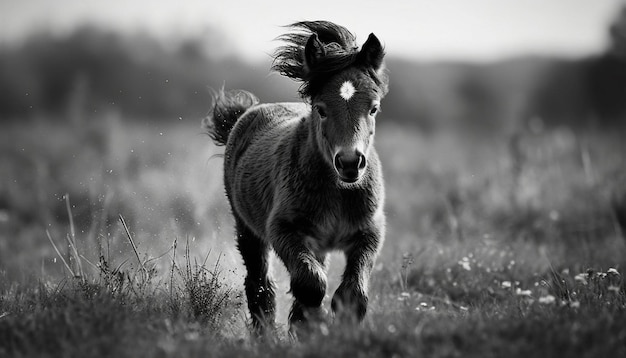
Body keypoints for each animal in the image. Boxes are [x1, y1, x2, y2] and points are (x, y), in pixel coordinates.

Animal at [202, 21, 388, 334]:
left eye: (373, 108)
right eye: (321, 109)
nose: (350, 163)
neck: (338, 191)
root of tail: (246, 113)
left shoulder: (369, 231)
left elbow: (351, 293)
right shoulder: (284, 230)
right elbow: (311, 285)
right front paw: (310, 327)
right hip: (247, 229)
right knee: (260, 285)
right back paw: (265, 333)